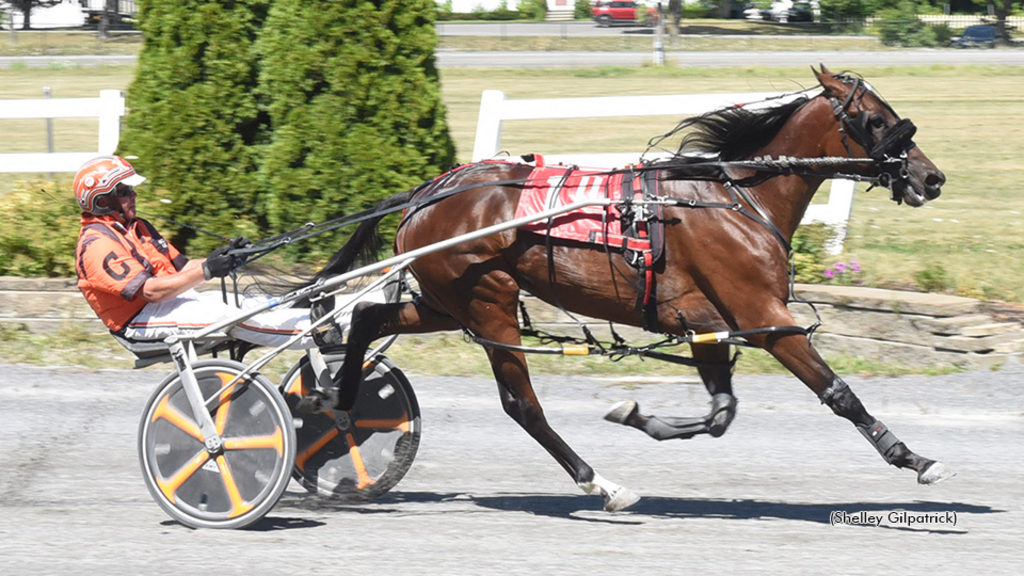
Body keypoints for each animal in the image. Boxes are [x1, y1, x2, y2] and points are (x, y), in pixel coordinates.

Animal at [296, 67, 950, 510]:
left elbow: (720, 413)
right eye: (875, 119)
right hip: (488, 304)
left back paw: (337, 400)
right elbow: (837, 393)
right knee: (522, 405)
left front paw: (636, 413)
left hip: (446, 299)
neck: (735, 198)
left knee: (368, 320)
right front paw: (914, 458)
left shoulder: (705, 322)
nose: (932, 177)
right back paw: (600, 483)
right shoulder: (762, 314)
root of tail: (425, 192)